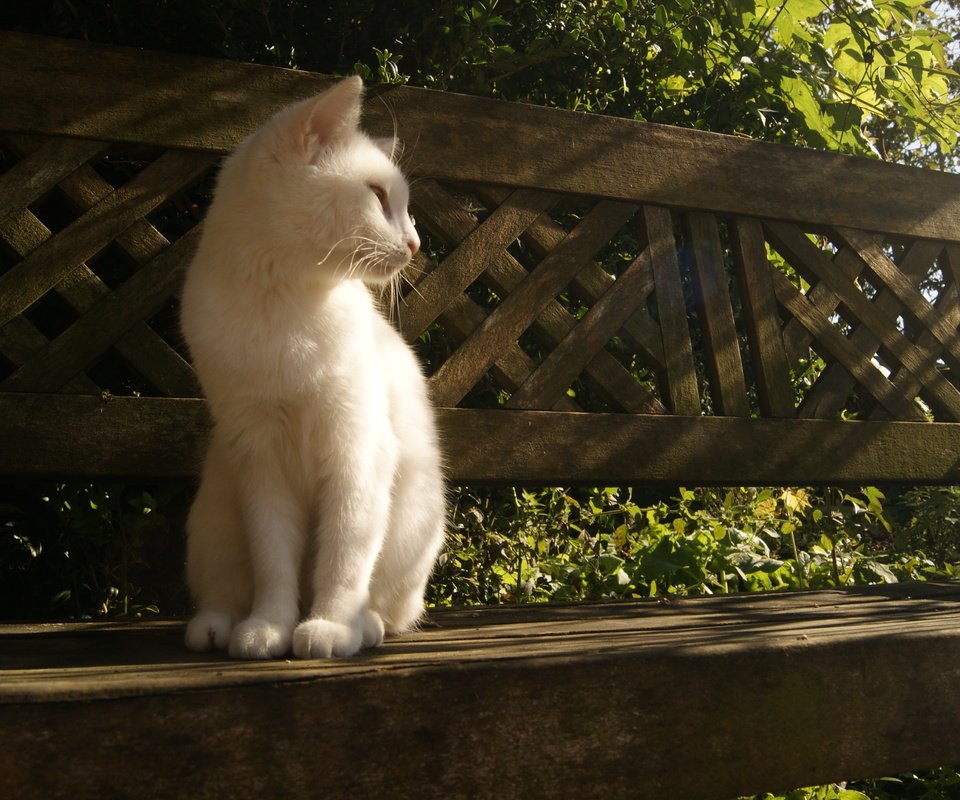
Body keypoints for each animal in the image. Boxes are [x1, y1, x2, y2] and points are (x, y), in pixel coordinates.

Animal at [179, 78, 446, 660]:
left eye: (404, 206)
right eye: (379, 196)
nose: (416, 244)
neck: (282, 306)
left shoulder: (355, 454)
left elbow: (343, 560)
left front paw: (328, 627)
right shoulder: (259, 459)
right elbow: (274, 566)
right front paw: (268, 629)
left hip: (412, 525)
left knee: (389, 606)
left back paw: (365, 627)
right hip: (216, 512)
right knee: (225, 590)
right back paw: (216, 628)